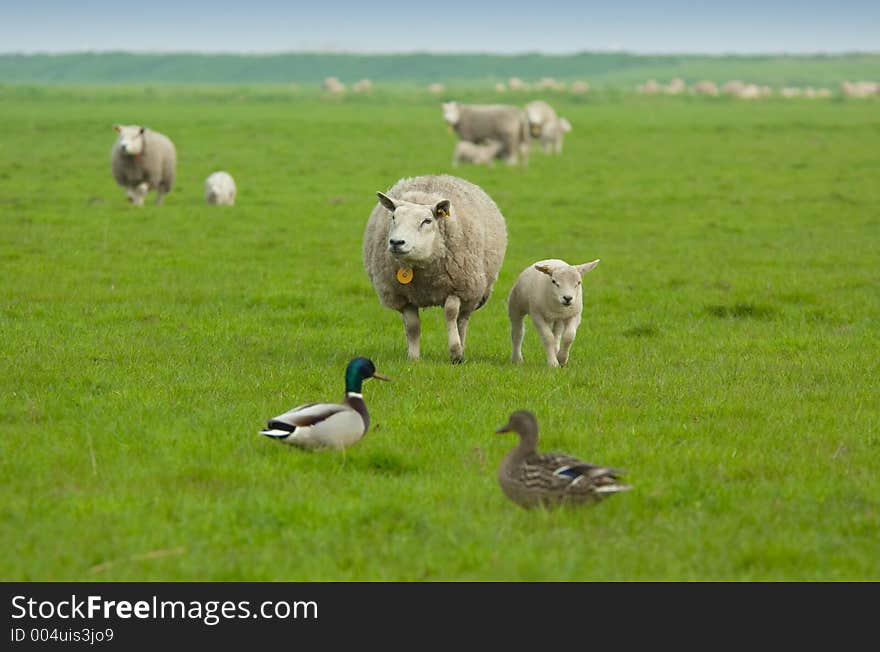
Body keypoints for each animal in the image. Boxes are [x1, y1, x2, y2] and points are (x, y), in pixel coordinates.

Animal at [360, 173, 506, 364]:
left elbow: (450, 314)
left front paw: (456, 353)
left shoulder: (457, 288)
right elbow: (412, 326)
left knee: (462, 320)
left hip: (472, 291)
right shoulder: (403, 296)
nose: (396, 242)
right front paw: (413, 358)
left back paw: (461, 345)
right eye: (393, 218)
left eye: (427, 221)